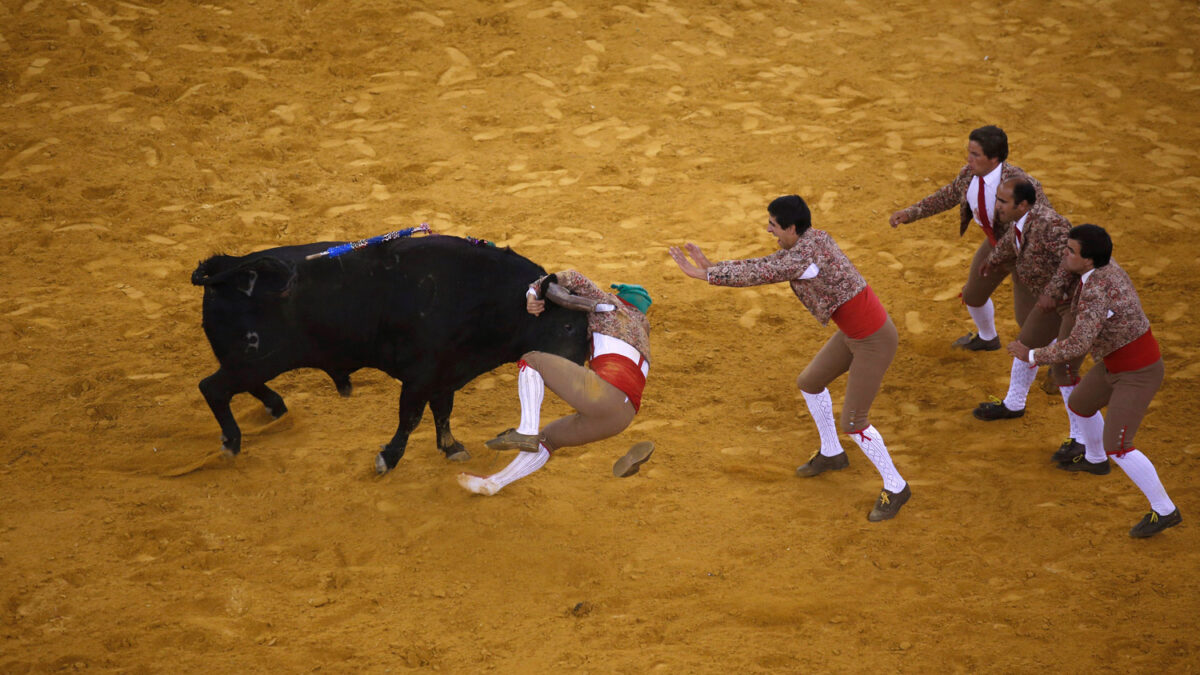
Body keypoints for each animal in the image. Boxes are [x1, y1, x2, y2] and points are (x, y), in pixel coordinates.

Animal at [192, 234, 590, 470]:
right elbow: (410, 417)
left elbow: (443, 411)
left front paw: (451, 447)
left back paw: (275, 408)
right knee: (213, 388)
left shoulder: (447, 374)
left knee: (237, 386)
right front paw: (388, 457)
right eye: (568, 326)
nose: (581, 378)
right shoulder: (422, 376)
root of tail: (226, 266)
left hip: (253, 361)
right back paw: (232, 443)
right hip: (256, 358)